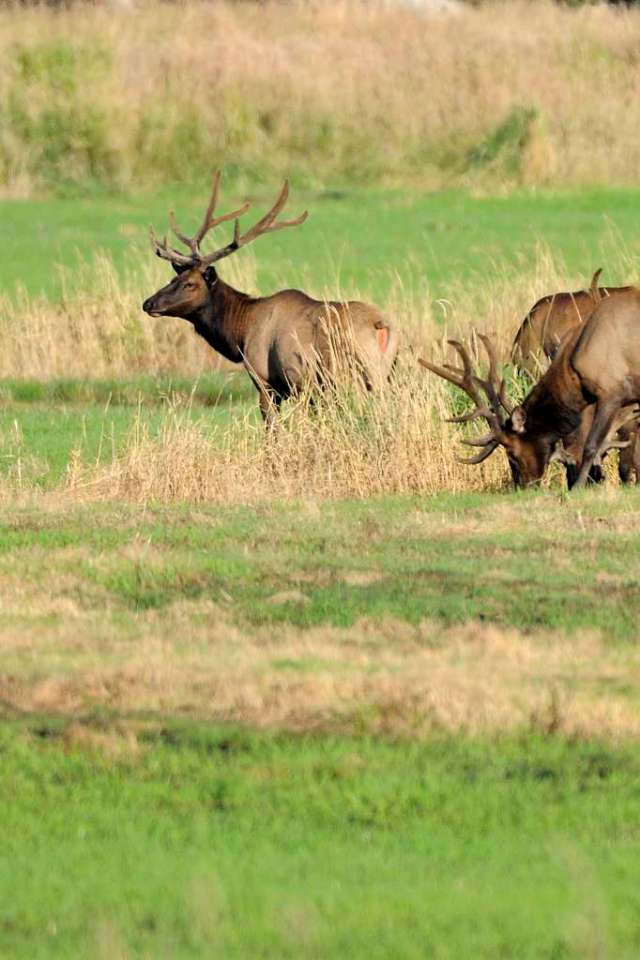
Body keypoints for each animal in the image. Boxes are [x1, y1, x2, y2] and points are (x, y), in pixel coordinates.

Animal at [142, 172, 398, 422]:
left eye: (190, 284)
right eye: (172, 279)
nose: (148, 303)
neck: (240, 332)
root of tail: (380, 324)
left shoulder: (265, 380)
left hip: (356, 372)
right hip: (387, 372)